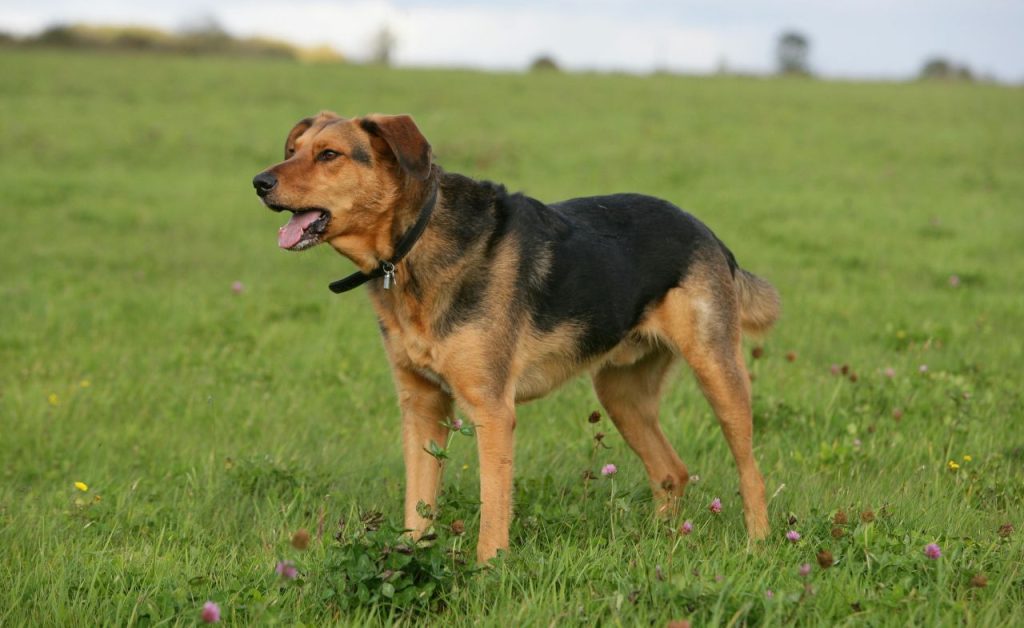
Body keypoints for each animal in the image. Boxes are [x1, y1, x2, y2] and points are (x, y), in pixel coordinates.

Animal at [251, 112, 778, 561]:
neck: (411, 244)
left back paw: (758, 546)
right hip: (621, 393)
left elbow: (492, 513)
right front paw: (406, 564)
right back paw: (661, 544)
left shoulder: (491, 409)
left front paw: (488, 574)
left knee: (750, 472)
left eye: (329, 155)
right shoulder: (421, 407)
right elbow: (416, 510)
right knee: (672, 472)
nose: (259, 183)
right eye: (293, 149)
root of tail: (709, 234)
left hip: (717, 371)